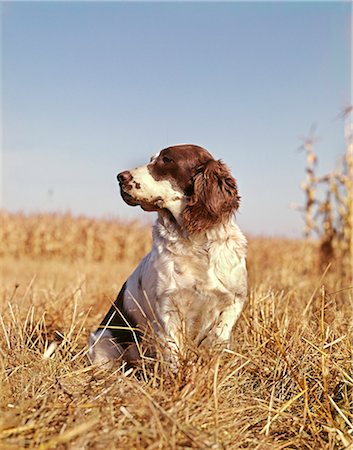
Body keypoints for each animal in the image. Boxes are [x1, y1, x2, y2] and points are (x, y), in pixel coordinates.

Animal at [88, 144, 248, 370]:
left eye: (166, 160)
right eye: (152, 159)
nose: (120, 177)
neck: (196, 243)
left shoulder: (233, 301)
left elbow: (217, 339)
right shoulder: (168, 309)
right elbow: (173, 355)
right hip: (104, 339)